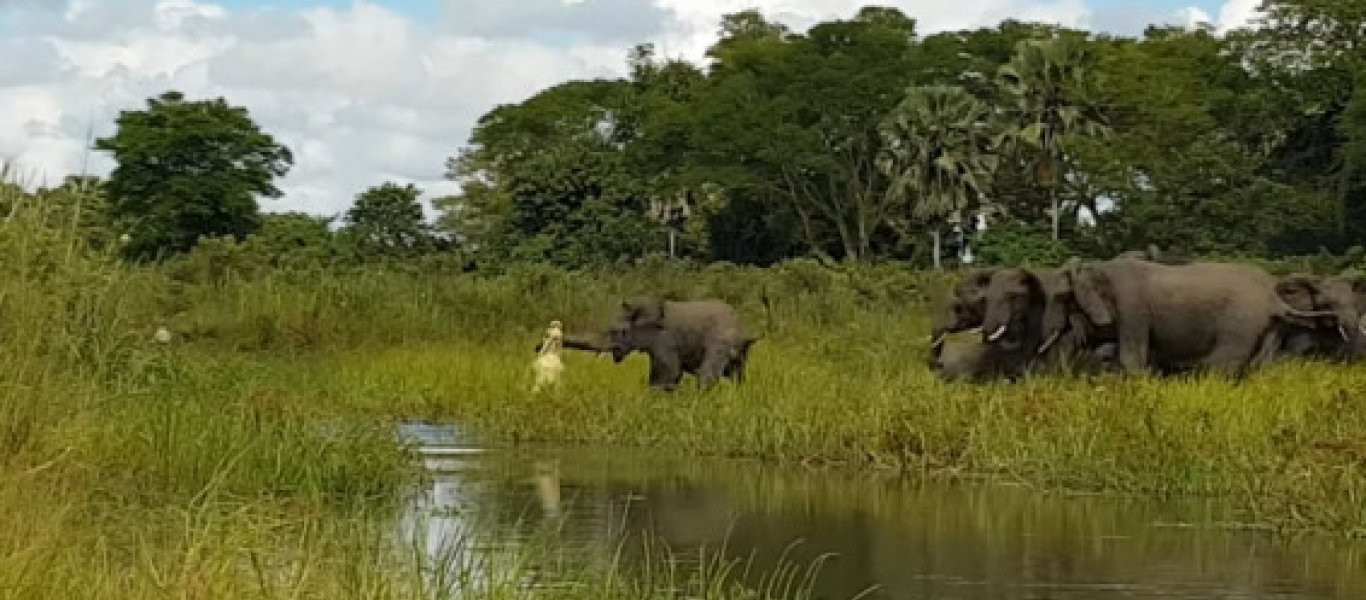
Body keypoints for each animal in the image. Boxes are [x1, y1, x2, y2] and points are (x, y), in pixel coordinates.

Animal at [543, 296, 759, 393]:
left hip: (720, 342)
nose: (538, 347)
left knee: (708, 374)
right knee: (737, 375)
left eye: (617, 332)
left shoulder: (665, 340)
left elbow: (669, 373)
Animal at [1060, 259, 1327, 379]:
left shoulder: (1132, 306)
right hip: (1269, 323)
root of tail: (1272, 295)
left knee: (1222, 362)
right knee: (1261, 363)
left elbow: (1132, 357)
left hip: (1241, 319)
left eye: (1072, 307)